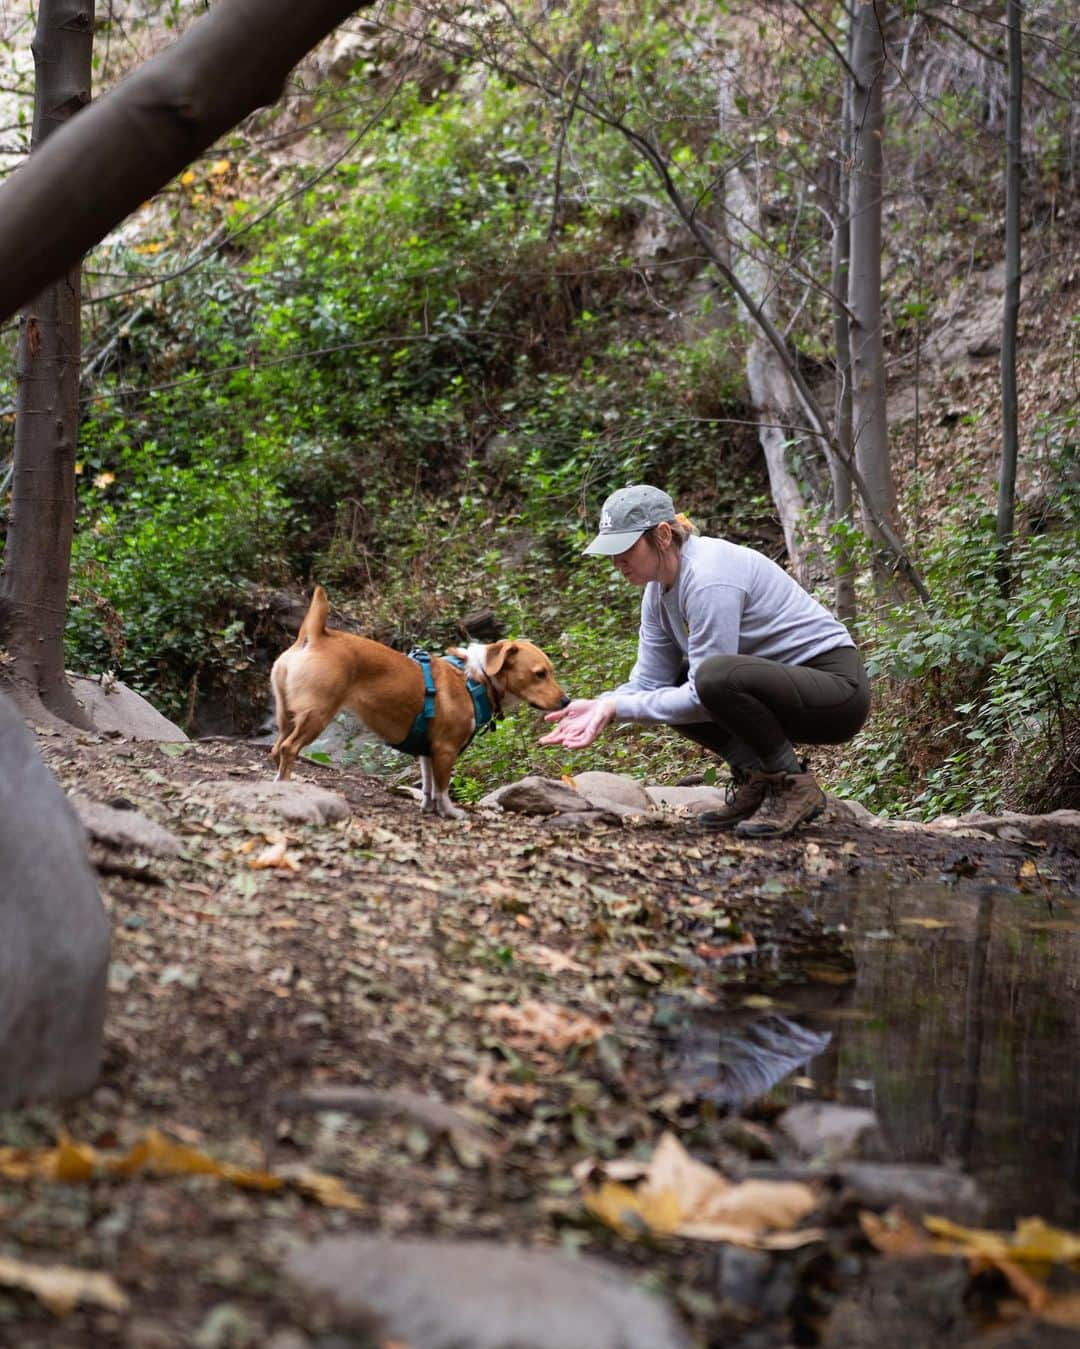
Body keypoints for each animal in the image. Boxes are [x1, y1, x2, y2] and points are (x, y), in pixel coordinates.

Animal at [269, 585, 568, 814]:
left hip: (286, 716)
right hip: (316, 716)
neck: (476, 679)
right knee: (288, 748)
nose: (566, 701)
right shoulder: (446, 749)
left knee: (276, 749)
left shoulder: (427, 751)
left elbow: (427, 786)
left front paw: (428, 809)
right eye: (540, 674)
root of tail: (315, 635)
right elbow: (443, 788)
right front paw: (449, 812)